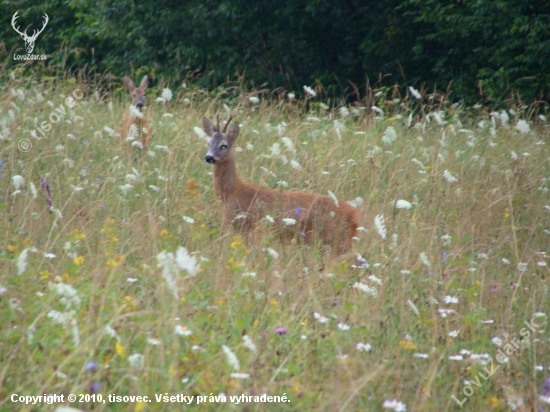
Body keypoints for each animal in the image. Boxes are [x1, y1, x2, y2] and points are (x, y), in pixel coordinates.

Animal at [203, 116, 362, 256]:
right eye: (209, 143)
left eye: (224, 146)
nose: (209, 157)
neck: (231, 192)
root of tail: (355, 215)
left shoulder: (244, 226)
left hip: (336, 238)